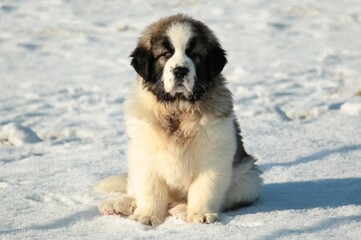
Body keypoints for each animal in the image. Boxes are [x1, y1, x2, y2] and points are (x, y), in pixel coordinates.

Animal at [94, 14, 260, 226]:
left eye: (194, 54)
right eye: (166, 54)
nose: (180, 71)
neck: (177, 109)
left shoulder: (214, 156)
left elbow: (205, 188)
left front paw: (200, 214)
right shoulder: (144, 154)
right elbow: (150, 190)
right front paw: (147, 215)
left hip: (249, 180)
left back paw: (180, 210)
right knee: (135, 189)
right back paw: (121, 204)